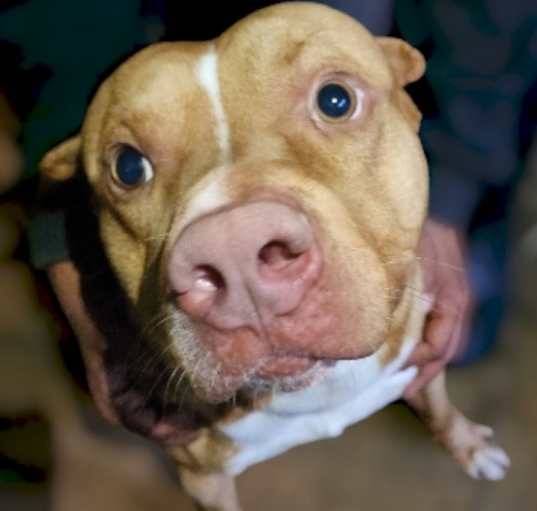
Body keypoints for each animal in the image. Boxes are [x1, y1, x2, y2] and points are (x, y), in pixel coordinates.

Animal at [38, 3, 510, 508]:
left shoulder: (423, 356)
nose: (234, 253)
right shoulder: (203, 479)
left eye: (335, 100)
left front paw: (467, 444)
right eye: (128, 167)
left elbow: (439, 405)